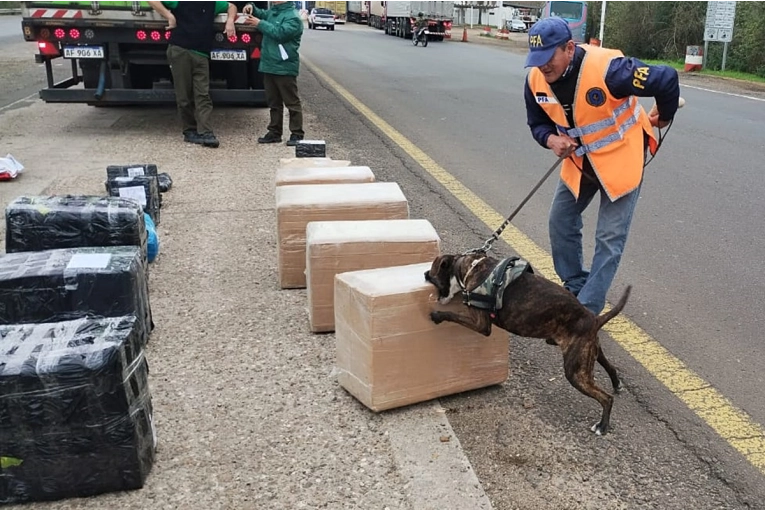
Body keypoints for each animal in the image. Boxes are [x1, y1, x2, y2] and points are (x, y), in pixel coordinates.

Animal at [420, 253, 628, 436]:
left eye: (433, 276)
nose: (425, 274)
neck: (471, 267)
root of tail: (593, 318)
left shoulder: (480, 324)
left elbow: (454, 316)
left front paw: (438, 315)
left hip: (576, 373)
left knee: (606, 398)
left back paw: (602, 426)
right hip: (589, 352)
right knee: (610, 367)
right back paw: (617, 384)